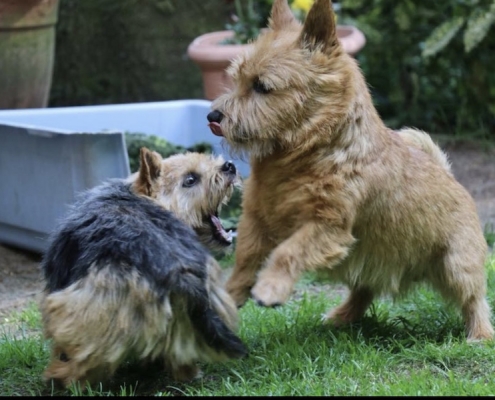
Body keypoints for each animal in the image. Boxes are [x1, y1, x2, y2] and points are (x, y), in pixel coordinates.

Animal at [207, 0, 494, 340]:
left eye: (262, 86)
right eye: (236, 78)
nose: (213, 116)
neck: (303, 157)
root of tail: (450, 175)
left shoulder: (327, 225)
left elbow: (288, 251)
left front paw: (270, 288)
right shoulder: (256, 220)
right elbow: (245, 260)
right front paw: (230, 296)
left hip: (456, 263)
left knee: (474, 298)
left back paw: (480, 335)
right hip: (369, 259)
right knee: (364, 291)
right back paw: (339, 317)